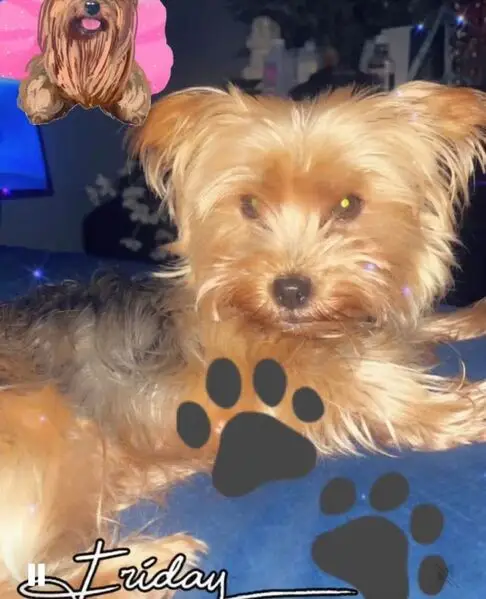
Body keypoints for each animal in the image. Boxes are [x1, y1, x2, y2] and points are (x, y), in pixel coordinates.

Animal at [3, 81, 486, 594]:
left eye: (347, 206)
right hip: (47, 424)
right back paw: (153, 556)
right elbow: (368, 381)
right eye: (249, 206)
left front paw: (467, 319)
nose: (290, 291)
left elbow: (407, 326)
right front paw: (462, 407)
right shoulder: (284, 380)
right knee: (23, 575)